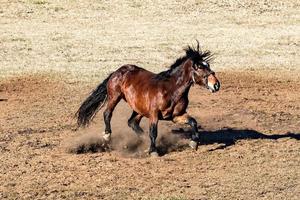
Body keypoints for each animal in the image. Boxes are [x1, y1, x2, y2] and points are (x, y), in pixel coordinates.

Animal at [75, 42, 220, 156]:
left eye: (208, 65)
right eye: (200, 67)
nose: (216, 85)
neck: (171, 90)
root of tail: (117, 71)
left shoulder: (176, 116)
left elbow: (193, 122)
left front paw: (194, 143)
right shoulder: (154, 114)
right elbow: (153, 132)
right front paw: (153, 151)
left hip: (138, 109)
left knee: (132, 122)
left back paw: (143, 140)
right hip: (114, 96)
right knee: (107, 113)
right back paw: (107, 135)